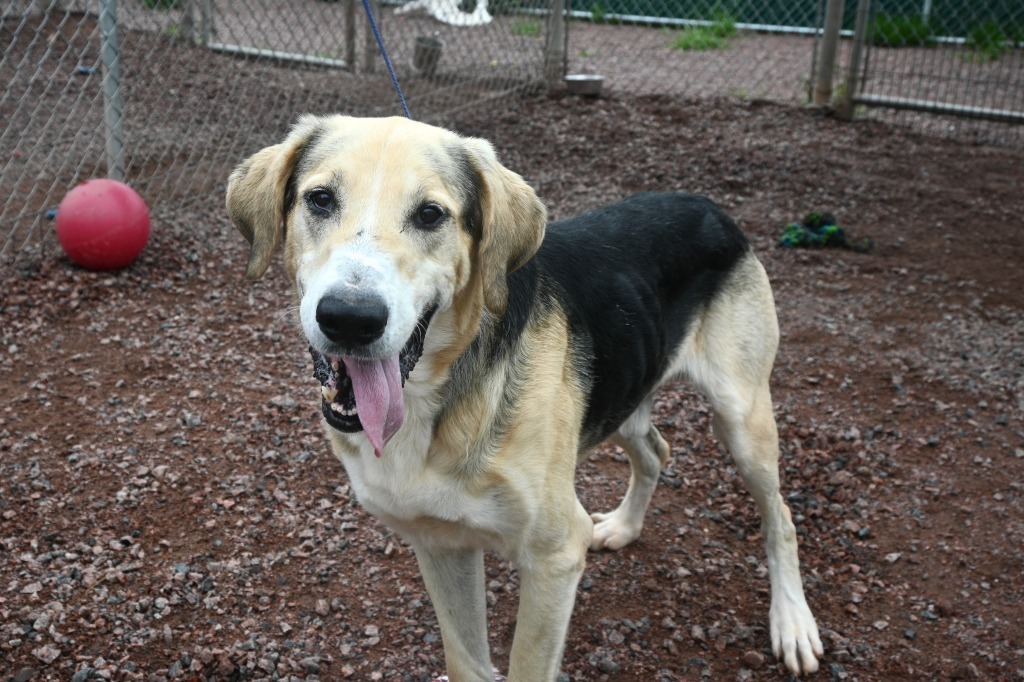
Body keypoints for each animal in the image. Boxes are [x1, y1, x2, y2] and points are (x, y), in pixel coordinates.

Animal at [226, 114, 823, 675]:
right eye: (320, 199)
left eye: (430, 215)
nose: (351, 318)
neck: (435, 403)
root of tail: (709, 205)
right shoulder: (441, 544)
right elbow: (466, 661)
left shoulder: (554, 557)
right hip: (625, 393)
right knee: (656, 450)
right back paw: (625, 527)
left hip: (741, 417)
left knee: (781, 517)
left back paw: (793, 623)